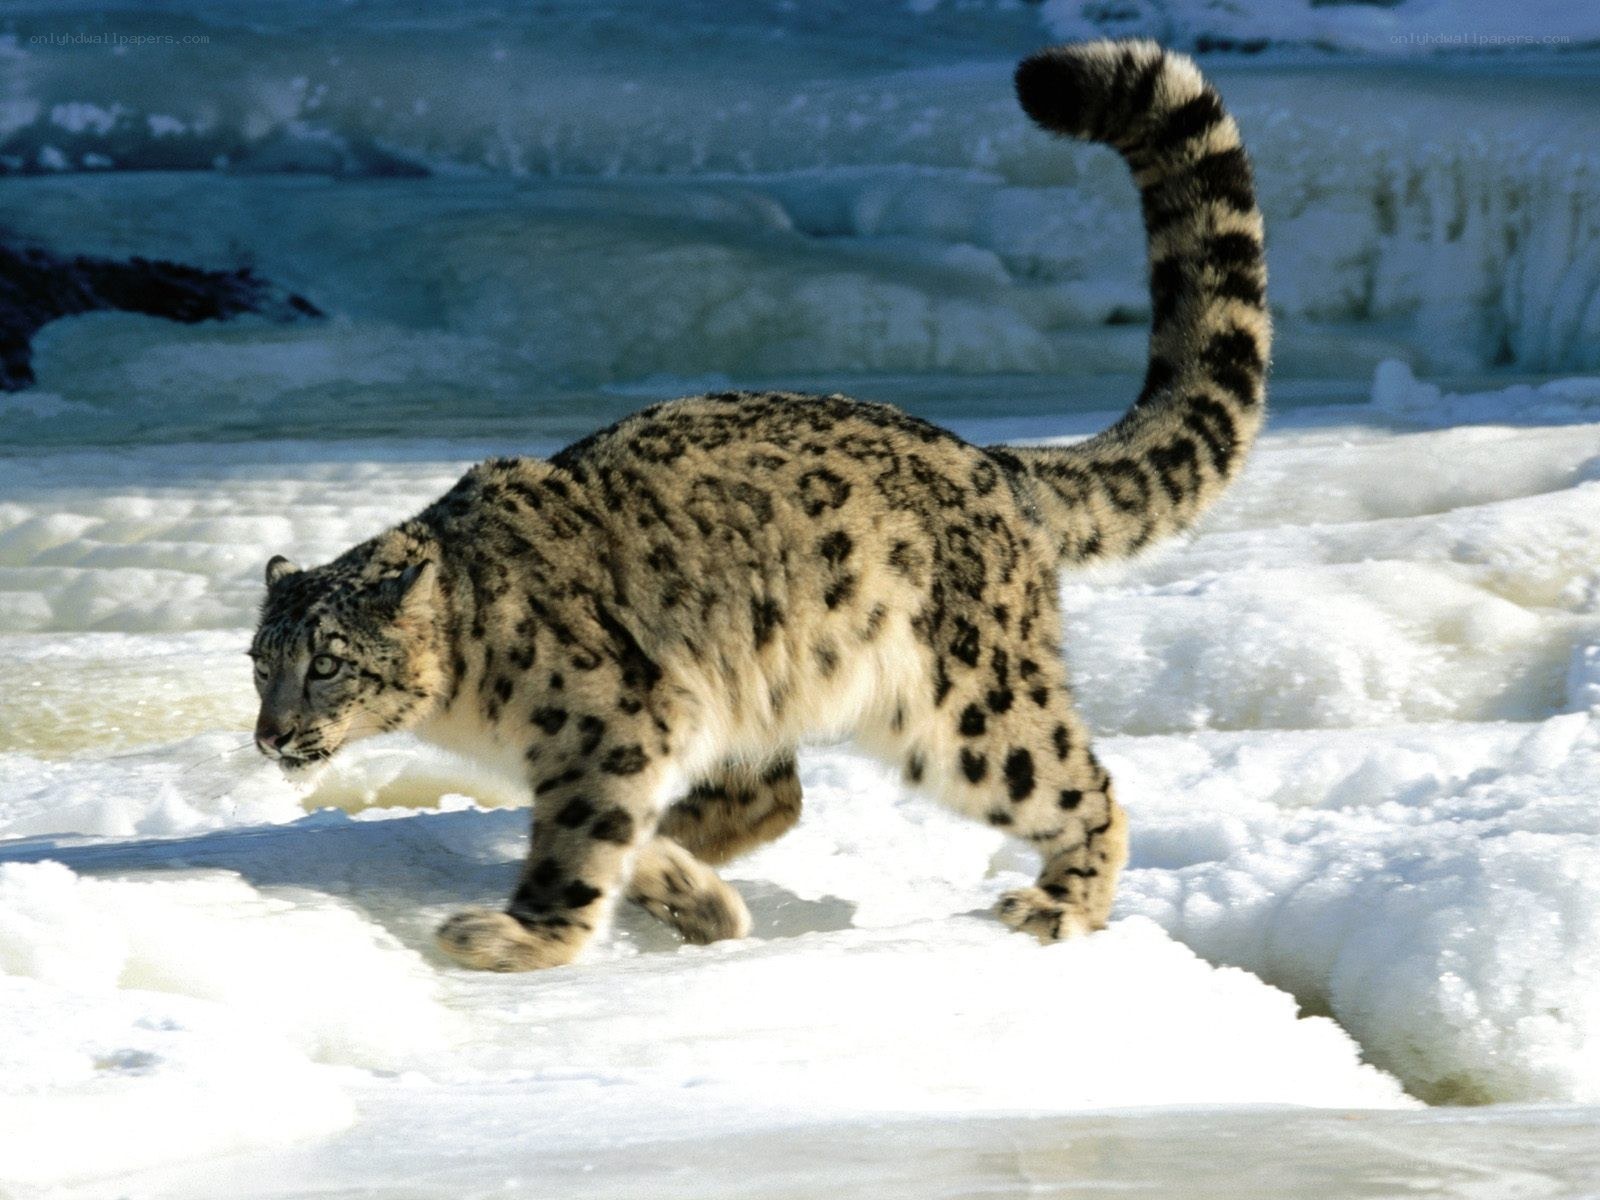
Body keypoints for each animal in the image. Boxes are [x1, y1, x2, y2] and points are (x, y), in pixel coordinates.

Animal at [249, 39, 1269, 971]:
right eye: (261, 664)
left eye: (329, 663)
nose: (272, 735)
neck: (469, 703)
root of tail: (988, 460)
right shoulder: (639, 740)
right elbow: (613, 828)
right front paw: (688, 897)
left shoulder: (612, 725)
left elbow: (579, 844)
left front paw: (517, 938)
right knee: (772, 794)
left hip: (970, 705)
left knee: (1078, 783)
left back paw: (1059, 906)